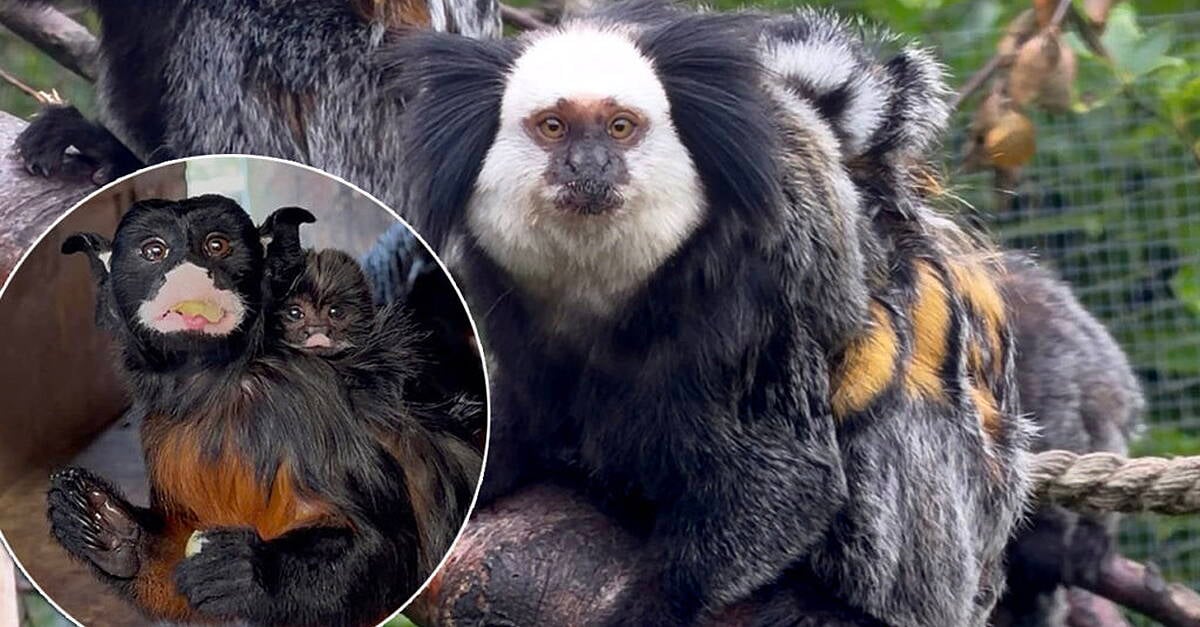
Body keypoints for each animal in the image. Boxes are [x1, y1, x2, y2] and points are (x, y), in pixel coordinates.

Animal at [49, 195, 483, 626]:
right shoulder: (161, 428)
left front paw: (250, 573)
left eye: (217, 245)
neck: (217, 385)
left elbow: (382, 545)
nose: (190, 275)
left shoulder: (301, 400)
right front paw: (112, 531)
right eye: (154, 251)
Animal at [395, 3, 1032, 626]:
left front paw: (656, 604)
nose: (590, 164)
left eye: (620, 127)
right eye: (553, 127)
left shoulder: (756, 286)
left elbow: (790, 473)